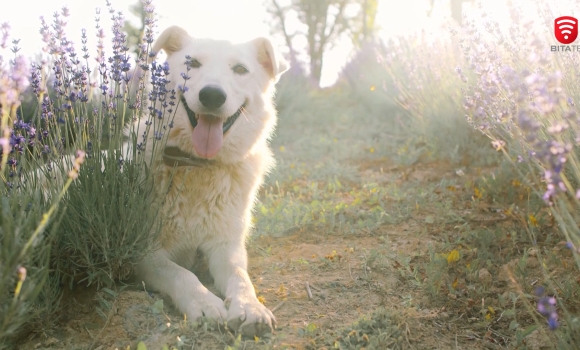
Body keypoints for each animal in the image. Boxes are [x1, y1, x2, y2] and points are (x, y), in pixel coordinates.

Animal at [130, 25, 286, 336]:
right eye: (193, 64)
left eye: (240, 69)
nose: (212, 95)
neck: (196, 166)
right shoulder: (144, 253)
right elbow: (180, 273)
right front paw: (204, 303)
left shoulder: (226, 247)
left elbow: (240, 277)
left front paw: (250, 307)